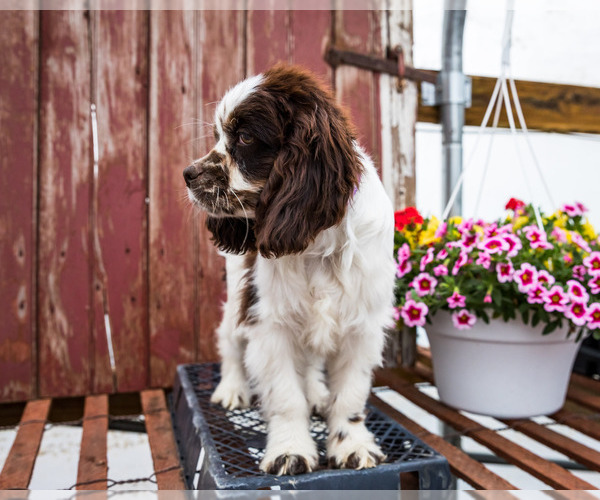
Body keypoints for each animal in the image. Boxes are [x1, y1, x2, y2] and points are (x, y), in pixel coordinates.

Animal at [185, 64, 396, 474]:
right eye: (218, 136)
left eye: (245, 137)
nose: (187, 174)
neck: (317, 244)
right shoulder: (268, 321)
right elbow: (285, 396)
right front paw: (290, 449)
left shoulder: (362, 325)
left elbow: (350, 396)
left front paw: (352, 445)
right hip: (238, 292)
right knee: (228, 340)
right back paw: (231, 388)